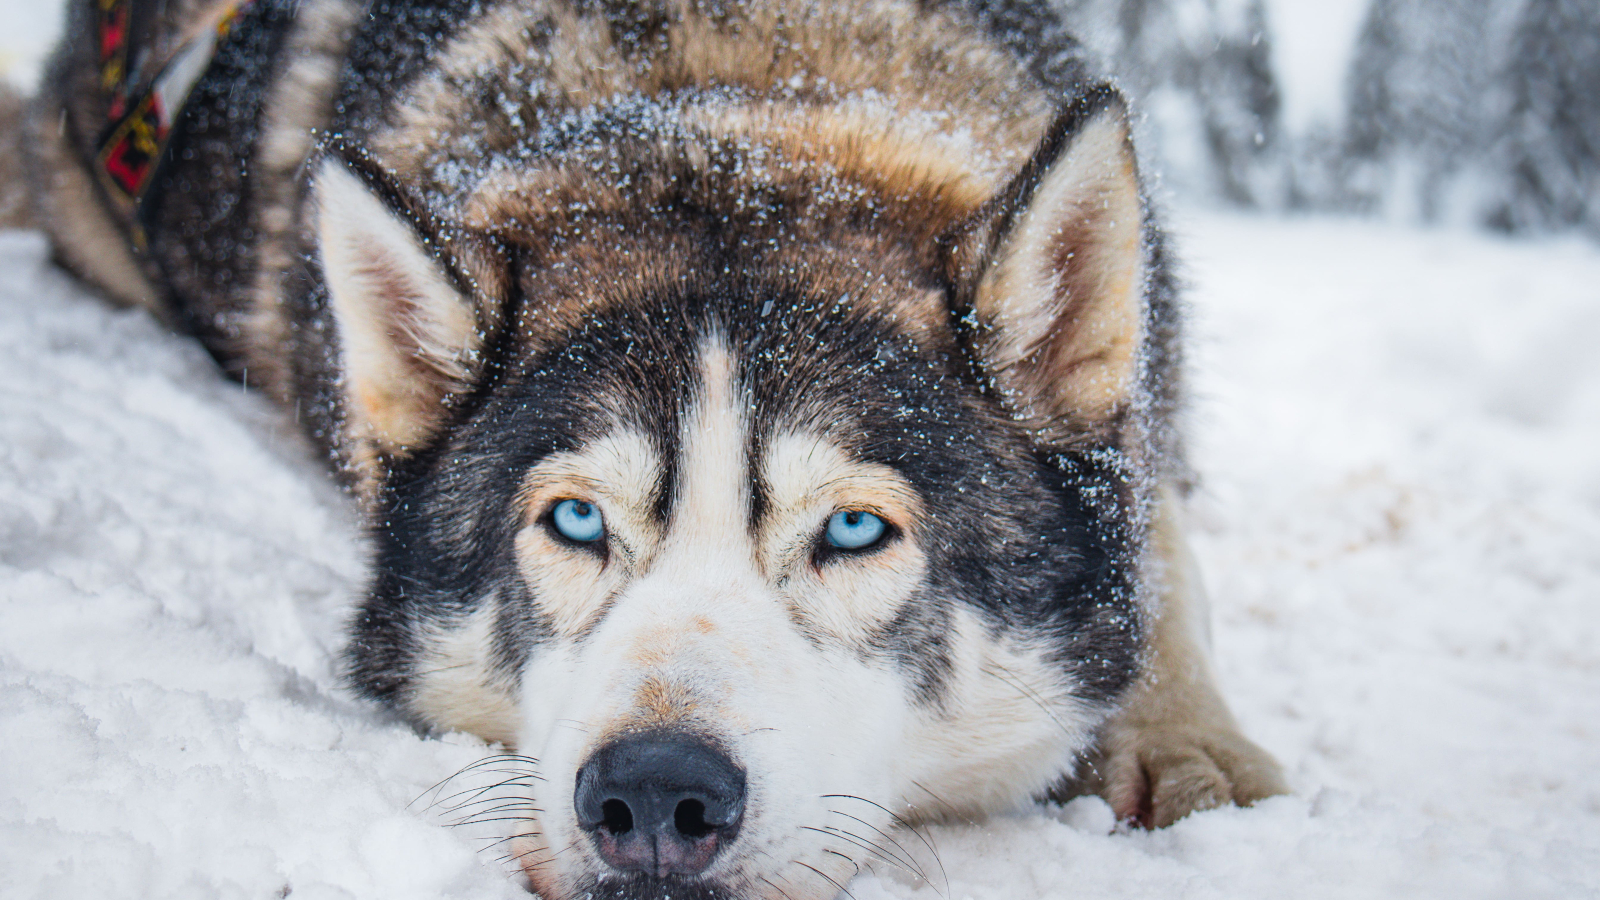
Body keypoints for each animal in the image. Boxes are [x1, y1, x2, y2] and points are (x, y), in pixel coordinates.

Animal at [31, 0, 1286, 890]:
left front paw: (1188, 744)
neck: (728, 104)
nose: (651, 798)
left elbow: (1163, 561)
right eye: (576, 519)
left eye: (853, 529)